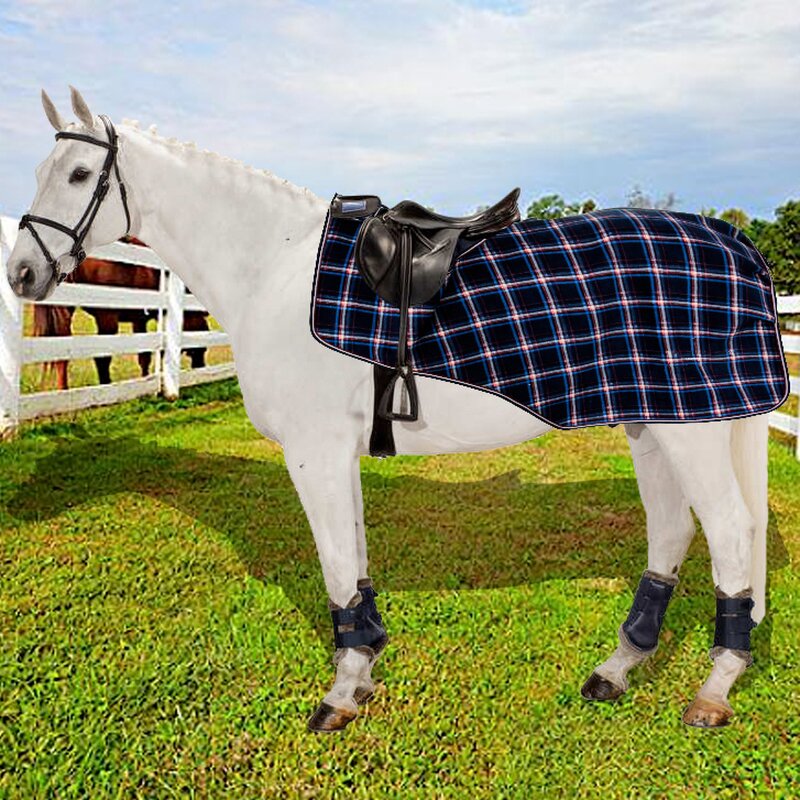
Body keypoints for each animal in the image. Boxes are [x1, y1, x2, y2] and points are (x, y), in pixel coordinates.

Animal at [32, 242, 210, 390]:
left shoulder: (139, 320)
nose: (201, 366)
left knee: (61, 357)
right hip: (106, 318)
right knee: (101, 358)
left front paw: (145, 380)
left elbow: (144, 356)